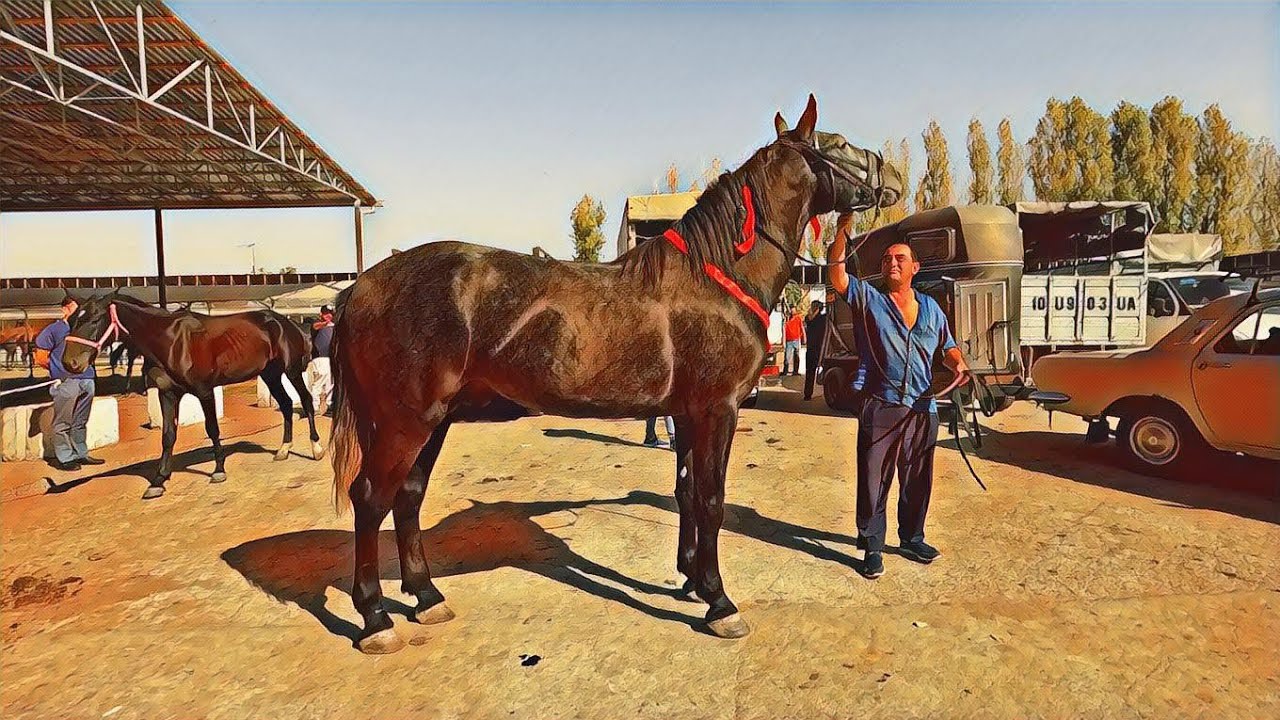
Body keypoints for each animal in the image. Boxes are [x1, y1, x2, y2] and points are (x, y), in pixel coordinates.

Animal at [61, 293, 324, 499]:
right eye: (72, 320)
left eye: (94, 319)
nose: (69, 363)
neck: (171, 341)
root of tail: (285, 322)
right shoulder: (168, 393)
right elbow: (168, 436)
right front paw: (158, 481)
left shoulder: (204, 391)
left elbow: (212, 429)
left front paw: (218, 470)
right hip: (270, 374)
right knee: (287, 404)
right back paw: (283, 449)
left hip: (291, 371)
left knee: (306, 401)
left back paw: (316, 449)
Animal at [329, 95, 904, 654]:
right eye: (839, 143)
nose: (893, 177)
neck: (715, 277)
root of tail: (360, 286)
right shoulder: (718, 410)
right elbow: (711, 500)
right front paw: (720, 604)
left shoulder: (687, 415)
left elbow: (686, 493)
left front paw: (692, 581)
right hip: (405, 423)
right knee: (370, 499)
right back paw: (375, 618)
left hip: (434, 422)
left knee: (407, 496)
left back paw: (426, 597)